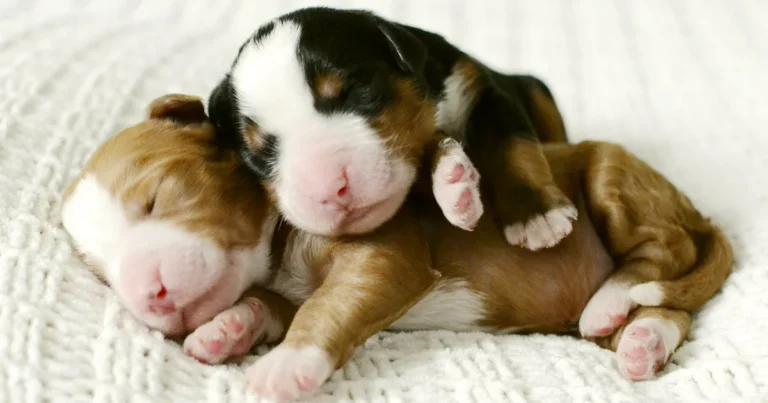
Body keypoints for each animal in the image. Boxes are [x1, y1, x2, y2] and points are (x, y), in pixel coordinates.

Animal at [61, 95, 732, 403]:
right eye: (102, 272)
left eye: (157, 196)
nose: (149, 293)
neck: (275, 249)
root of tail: (695, 208)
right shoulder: (277, 292)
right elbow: (270, 308)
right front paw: (224, 331)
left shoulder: (383, 256)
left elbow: (322, 310)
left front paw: (282, 368)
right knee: (672, 312)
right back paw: (641, 341)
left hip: (612, 181)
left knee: (663, 254)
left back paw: (614, 297)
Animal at [207, 6, 572, 251]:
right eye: (261, 150)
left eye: (353, 90)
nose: (329, 188)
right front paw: (451, 180)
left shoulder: (482, 89)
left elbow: (511, 145)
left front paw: (536, 214)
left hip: (537, 88)